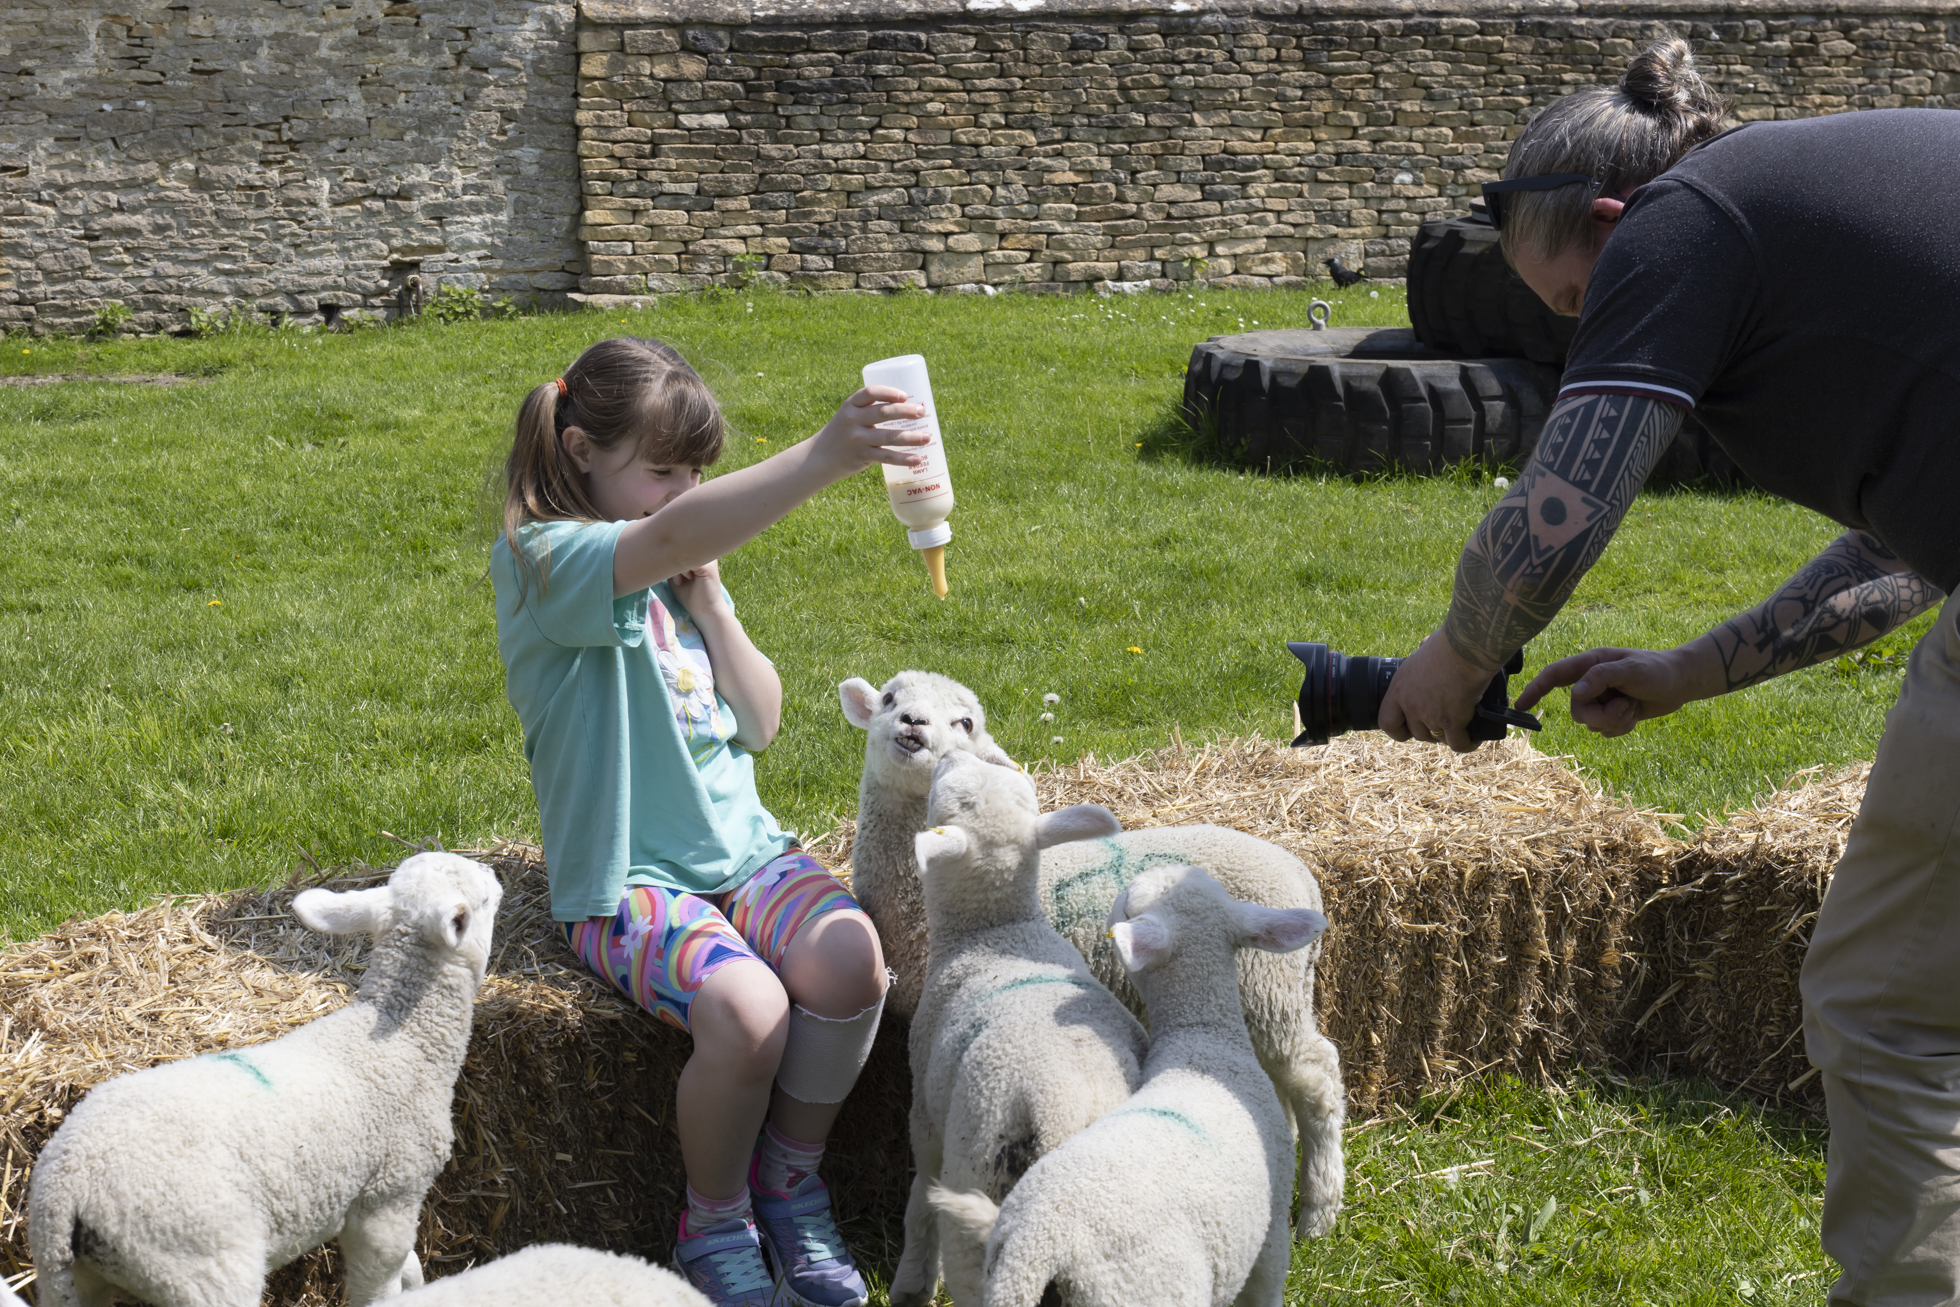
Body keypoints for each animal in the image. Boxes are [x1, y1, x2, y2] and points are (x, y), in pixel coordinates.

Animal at [28, 854, 505, 1307]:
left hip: (71, 1277)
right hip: (197, 1261)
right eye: (483, 900)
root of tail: (65, 1188)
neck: (404, 1039)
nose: (491, 870)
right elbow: (380, 1285)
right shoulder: (388, 1196)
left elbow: (411, 1269)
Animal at [842, 674, 1348, 1238]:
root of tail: (1303, 876)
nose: (912, 723)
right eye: (890, 699)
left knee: (1316, 1077)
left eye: (965, 723)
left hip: (1268, 990)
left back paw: (1318, 1213)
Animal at [897, 744, 1152, 1307]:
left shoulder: (926, 1114)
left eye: (954, 797)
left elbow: (918, 1201)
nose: (950, 751)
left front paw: (912, 1283)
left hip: (977, 1168)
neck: (995, 931)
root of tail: (1063, 1118)